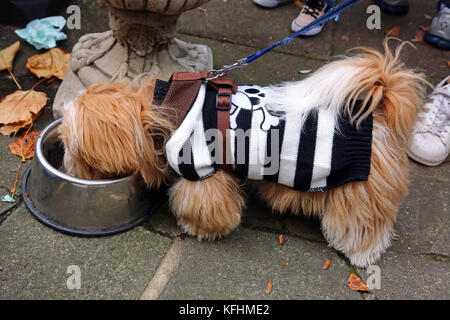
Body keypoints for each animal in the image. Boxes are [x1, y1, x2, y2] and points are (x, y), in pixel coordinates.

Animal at [59, 42, 426, 268]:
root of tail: (379, 110)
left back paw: (361, 253)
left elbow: (203, 205)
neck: (163, 108)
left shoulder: (203, 172)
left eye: (74, 150)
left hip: (360, 191)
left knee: (366, 225)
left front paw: (198, 227)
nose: (68, 168)